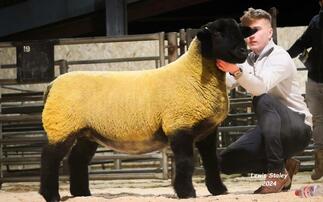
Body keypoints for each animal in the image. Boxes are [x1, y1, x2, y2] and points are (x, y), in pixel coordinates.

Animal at [38, 18, 256, 201]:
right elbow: (185, 162)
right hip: (61, 126)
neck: (193, 75)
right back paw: (51, 195)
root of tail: (52, 85)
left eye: (240, 31)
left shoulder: (208, 130)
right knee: (50, 158)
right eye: (218, 33)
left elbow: (211, 161)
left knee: (77, 159)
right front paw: (186, 193)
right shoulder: (179, 125)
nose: (243, 52)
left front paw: (219, 190)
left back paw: (82, 193)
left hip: (87, 132)